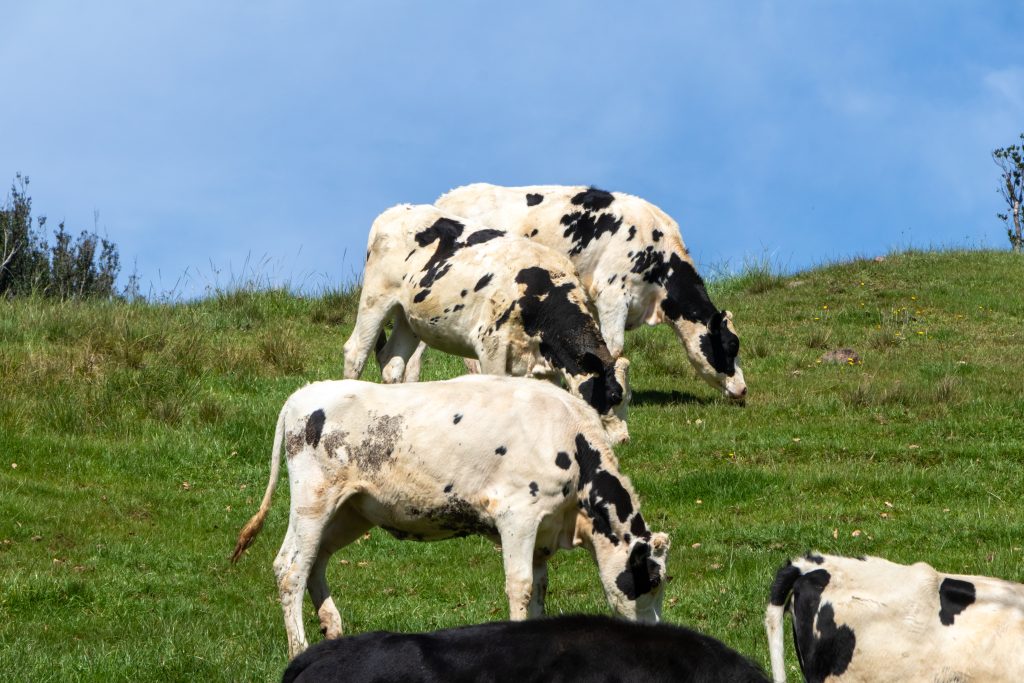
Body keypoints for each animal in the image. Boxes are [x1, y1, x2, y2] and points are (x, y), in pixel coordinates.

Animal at [231, 375, 670, 659]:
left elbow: (539, 590)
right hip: (314, 497)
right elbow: (520, 586)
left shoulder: (544, 531)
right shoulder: (518, 514)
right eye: (650, 580)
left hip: (353, 509)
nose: (657, 634)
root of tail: (303, 394)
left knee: (316, 559)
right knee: (291, 566)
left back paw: (332, 629)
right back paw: (299, 648)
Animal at [342, 203, 631, 444]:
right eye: (614, 396)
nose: (624, 439)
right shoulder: (491, 345)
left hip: (408, 316)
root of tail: (395, 210)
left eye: (628, 397)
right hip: (376, 299)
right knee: (355, 352)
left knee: (392, 362)